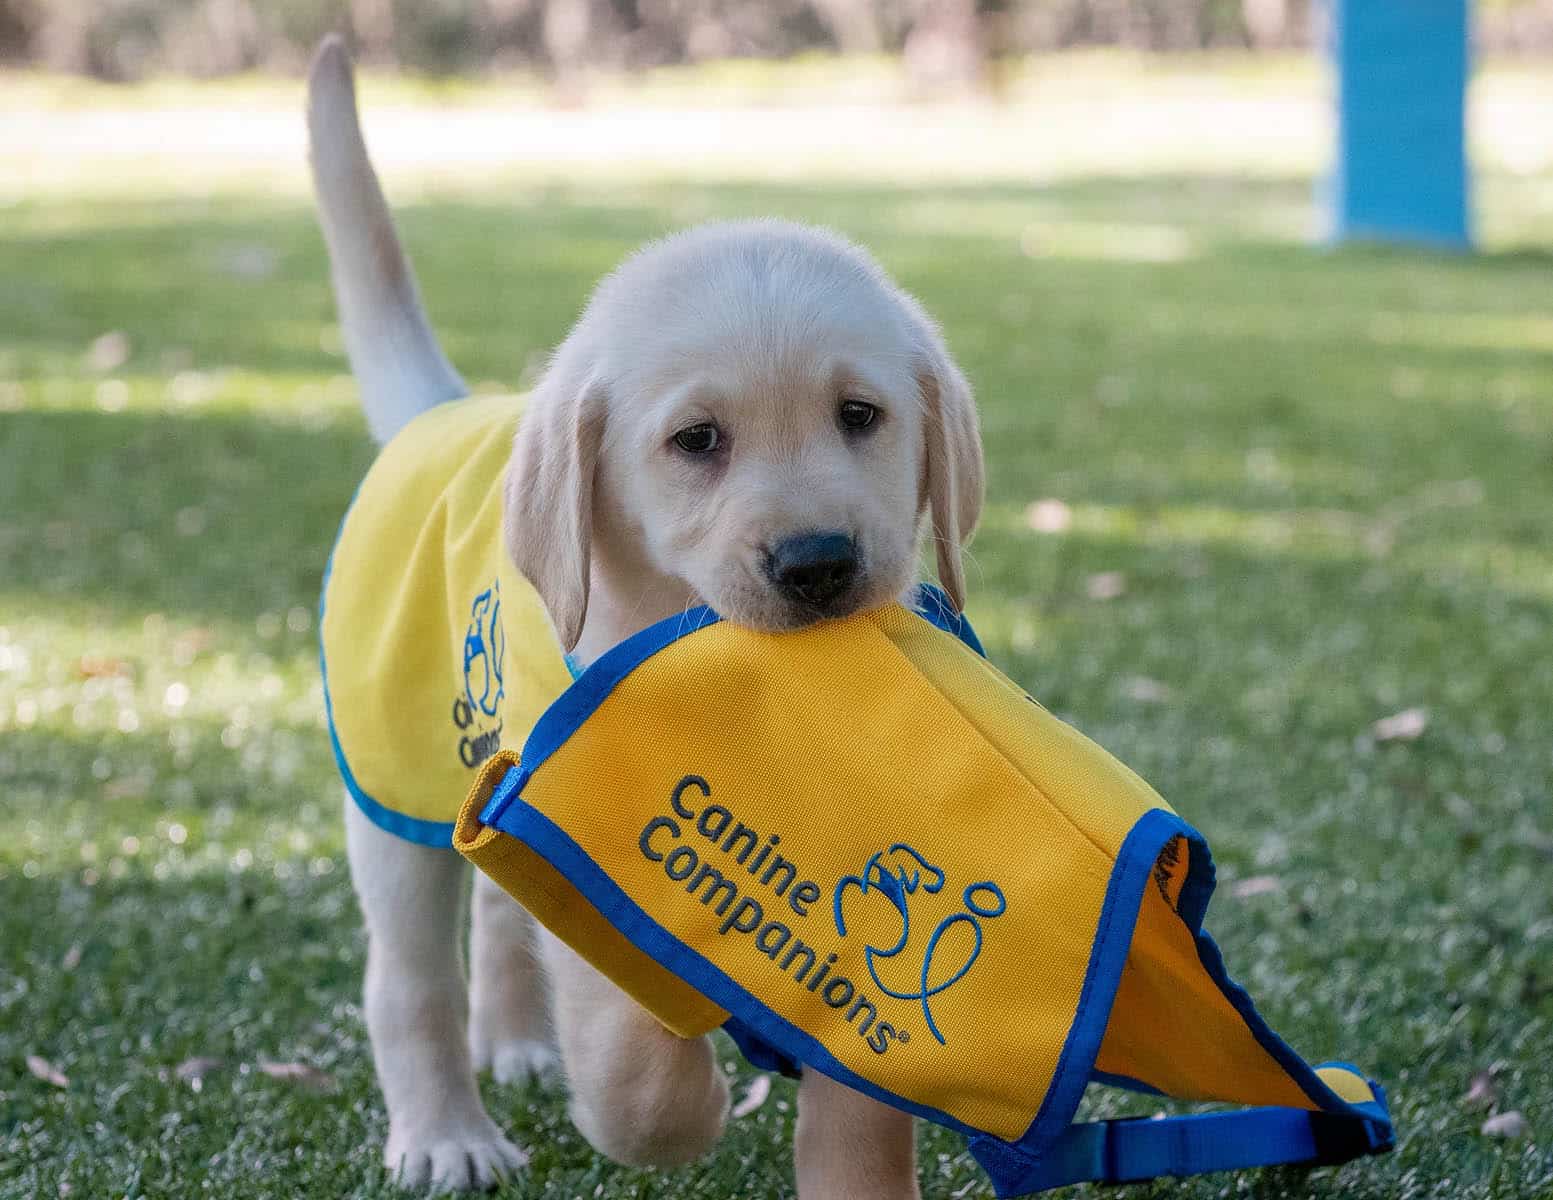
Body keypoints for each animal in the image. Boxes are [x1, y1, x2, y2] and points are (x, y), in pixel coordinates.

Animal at [305, 32, 981, 1192]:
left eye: (860, 416)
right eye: (696, 441)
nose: (817, 564)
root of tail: (438, 415)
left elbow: (859, 1105)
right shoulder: (577, 829)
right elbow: (627, 1055)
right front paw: (674, 1113)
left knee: (498, 915)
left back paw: (516, 1043)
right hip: (392, 789)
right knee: (409, 977)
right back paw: (445, 1133)